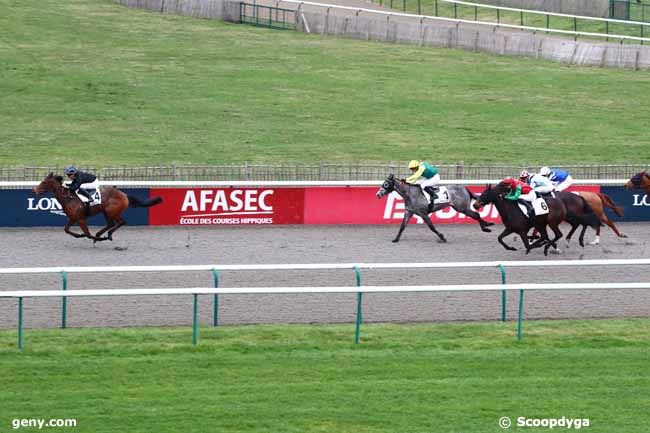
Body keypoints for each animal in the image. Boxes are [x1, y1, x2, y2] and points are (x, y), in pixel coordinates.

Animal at [33, 171, 162, 240]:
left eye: (44, 182)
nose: (34, 190)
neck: (69, 198)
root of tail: (124, 195)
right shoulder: (72, 218)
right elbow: (66, 230)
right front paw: (79, 235)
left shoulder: (80, 219)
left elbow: (87, 234)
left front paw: (97, 239)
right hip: (106, 212)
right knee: (111, 224)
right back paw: (102, 233)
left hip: (112, 211)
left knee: (121, 222)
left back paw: (107, 235)